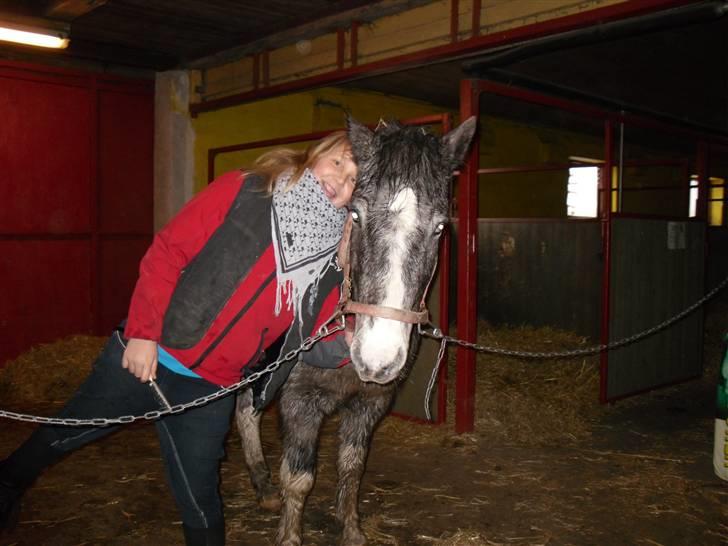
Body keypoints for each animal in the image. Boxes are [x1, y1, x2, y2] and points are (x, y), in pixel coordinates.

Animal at [236, 116, 477, 546]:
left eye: (440, 227)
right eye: (356, 215)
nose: (377, 359)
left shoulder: (370, 403)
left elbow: (351, 468)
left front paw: (351, 531)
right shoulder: (299, 401)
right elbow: (298, 479)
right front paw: (290, 535)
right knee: (245, 411)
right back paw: (264, 487)